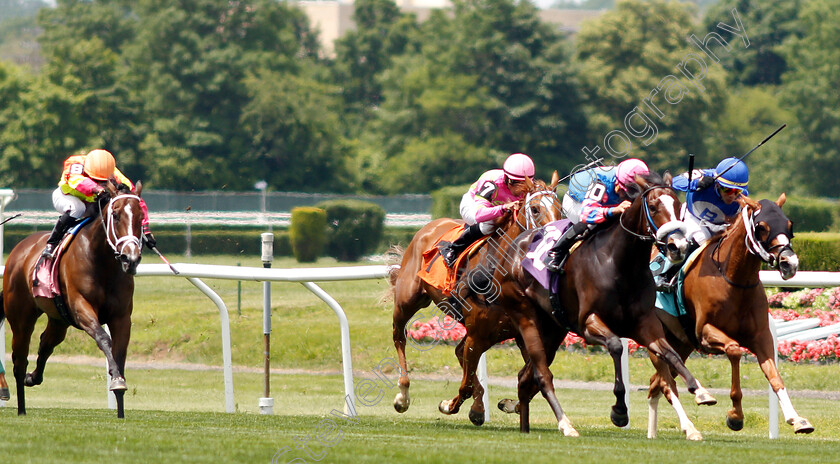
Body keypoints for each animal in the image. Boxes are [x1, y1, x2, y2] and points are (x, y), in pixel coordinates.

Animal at [0, 180, 144, 416]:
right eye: (115, 215)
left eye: (141, 216)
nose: (130, 258)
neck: (102, 262)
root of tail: (20, 249)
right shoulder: (81, 308)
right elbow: (104, 339)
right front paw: (116, 381)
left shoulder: (122, 317)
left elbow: (119, 352)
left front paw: (120, 399)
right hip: (21, 317)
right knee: (19, 360)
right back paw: (21, 408)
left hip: (59, 319)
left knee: (46, 343)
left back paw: (33, 378)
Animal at [388, 171, 560, 424]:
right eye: (536, 209)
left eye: (561, 208)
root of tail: (429, 226)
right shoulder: (478, 333)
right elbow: (466, 385)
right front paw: (448, 405)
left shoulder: (518, 333)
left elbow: (535, 376)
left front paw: (508, 404)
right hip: (407, 300)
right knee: (399, 336)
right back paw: (403, 395)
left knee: (459, 352)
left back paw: (478, 407)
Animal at [496, 173, 720, 438]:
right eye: (653, 206)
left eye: (678, 207)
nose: (679, 246)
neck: (621, 265)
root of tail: (512, 248)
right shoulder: (588, 323)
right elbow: (615, 346)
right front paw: (619, 411)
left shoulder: (646, 324)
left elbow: (670, 355)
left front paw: (700, 393)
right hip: (526, 316)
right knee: (542, 374)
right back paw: (566, 424)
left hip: (552, 328)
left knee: (525, 377)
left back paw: (526, 427)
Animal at [648, 193, 812, 438]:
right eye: (762, 227)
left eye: (789, 225)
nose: (789, 263)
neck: (734, 279)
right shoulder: (705, 333)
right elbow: (735, 350)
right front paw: (735, 415)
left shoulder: (761, 336)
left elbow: (774, 375)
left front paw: (797, 419)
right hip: (654, 338)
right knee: (665, 382)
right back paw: (694, 414)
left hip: (681, 344)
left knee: (656, 382)